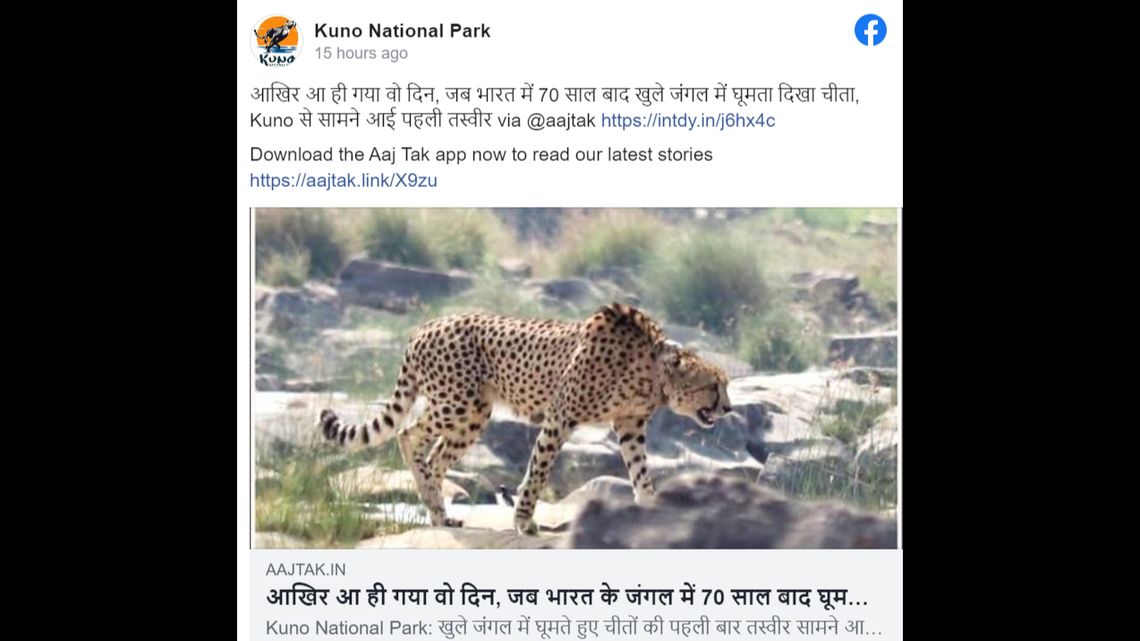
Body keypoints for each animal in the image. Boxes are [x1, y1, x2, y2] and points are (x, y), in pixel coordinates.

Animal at [317, 303, 733, 536]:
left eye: (725, 385)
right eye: (713, 386)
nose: (729, 409)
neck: (652, 372)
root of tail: (426, 325)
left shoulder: (630, 426)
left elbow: (641, 473)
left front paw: (652, 511)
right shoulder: (560, 417)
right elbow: (538, 471)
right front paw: (524, 522)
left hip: (475, 412)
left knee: (435, 457)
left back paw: (440, 515)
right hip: (456, 402)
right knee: (407, 434)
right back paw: (435, 507)